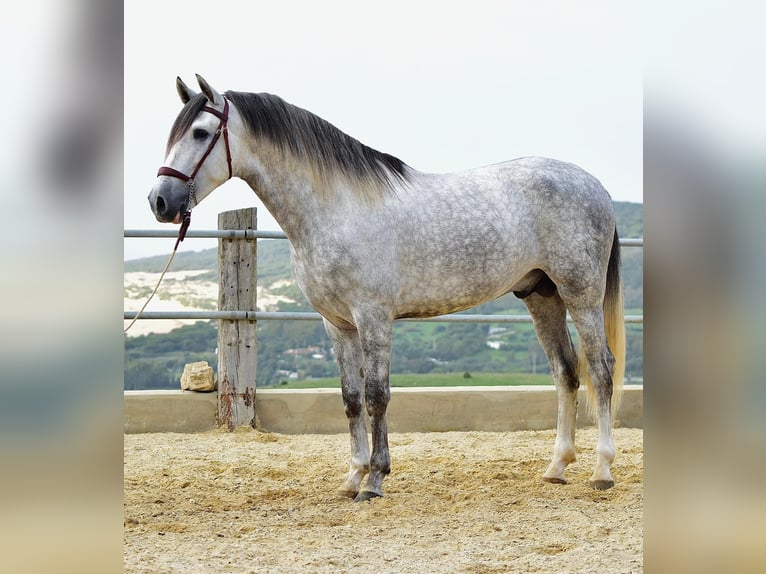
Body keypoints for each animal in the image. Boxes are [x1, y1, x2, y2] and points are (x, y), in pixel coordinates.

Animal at [148, 74, 625, 501]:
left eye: (201, 132)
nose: (160, 201)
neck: (337, 208)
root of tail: (595, 186)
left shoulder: (374, 317)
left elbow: (378, 396)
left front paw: (376, 479)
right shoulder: (337, 324)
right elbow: (351, 399)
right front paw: (352, 477)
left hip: (580, 293)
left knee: (601, 369)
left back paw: (601, 470)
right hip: (542, 296)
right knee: (566, 372)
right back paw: (557, 467)